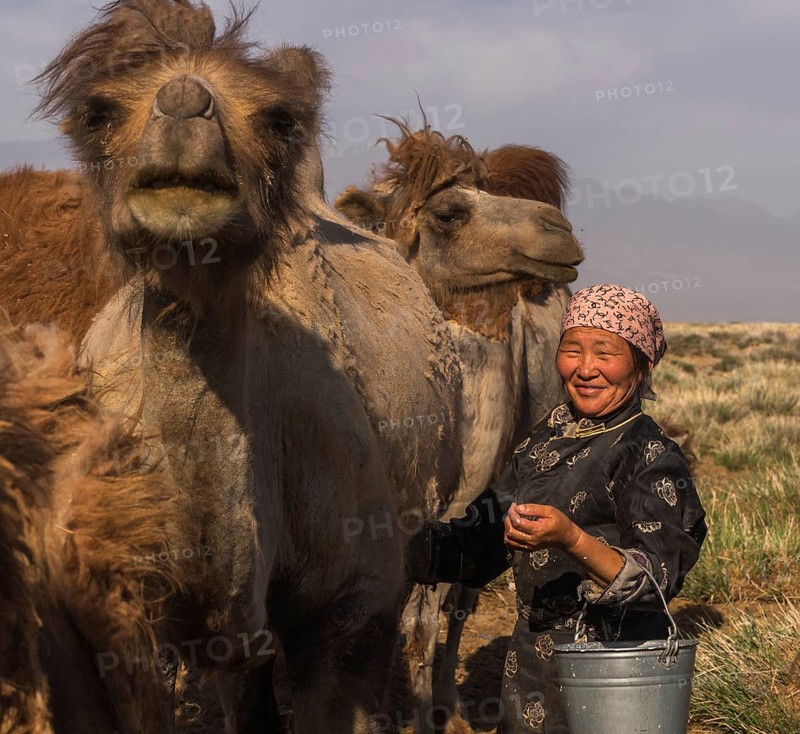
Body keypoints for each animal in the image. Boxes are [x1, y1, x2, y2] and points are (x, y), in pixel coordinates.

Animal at [335, 129, 581, 733]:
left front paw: (424, 717)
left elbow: (422, 617)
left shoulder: (454, 503)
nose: (559, 230)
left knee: (458, 602)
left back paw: (449, 700)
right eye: (448, 213)